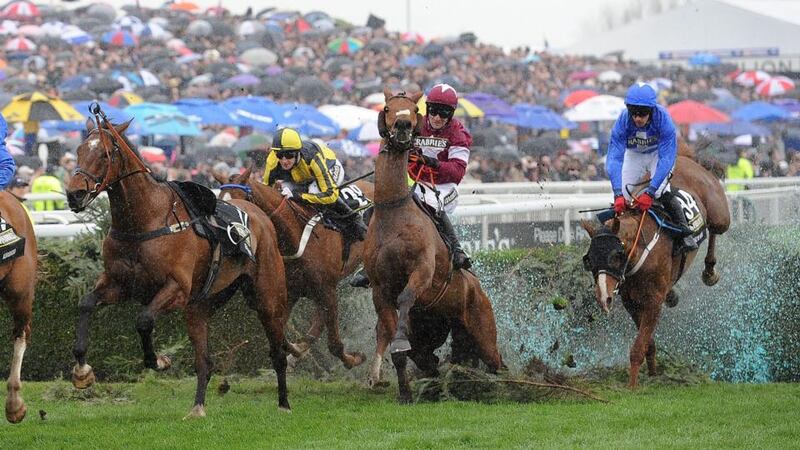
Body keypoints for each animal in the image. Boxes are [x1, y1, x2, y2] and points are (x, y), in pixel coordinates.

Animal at [65, 114, 290, 416]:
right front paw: (82, 371)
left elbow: (144, 321)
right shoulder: (119, 284)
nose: (74, 194)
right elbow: (86, 303)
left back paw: (284, 403)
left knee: (278, 351)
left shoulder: (176, 289)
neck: (146, 219)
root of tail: (258, 213)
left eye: (105, 153)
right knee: (204, 360)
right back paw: (197, 408)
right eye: (79, 150)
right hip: (201, 305)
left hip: (267, 296)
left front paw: (159, 360)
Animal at [216, 166, 372, 370]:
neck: (294, 235)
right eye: (219, 204)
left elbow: (334, 345)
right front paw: (296, 351)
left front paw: (355, 359)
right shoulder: (292, 292)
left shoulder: (327, 290)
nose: (225, 238)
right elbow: (281, 335)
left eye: (239, 202)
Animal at [364, 89, 504, 404]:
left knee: (497, 364)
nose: (403, 127)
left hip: (483, 329)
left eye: (414, 109)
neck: (394, 212)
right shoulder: (380, 288)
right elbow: (397, 343)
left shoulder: (422, 270)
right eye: (388, 108)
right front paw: (404, 392)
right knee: (431, 360)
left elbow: (406, 297)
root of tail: (477, 288)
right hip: (439, 329)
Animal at [580, 149, 732, 388]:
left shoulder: (653, 302)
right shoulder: (631, 302)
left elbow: (638, 347)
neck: (641, 248)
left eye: (616, 256)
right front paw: (652, 373)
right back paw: (674, 293)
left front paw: (632, 387)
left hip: (719, 215)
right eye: (589, 260)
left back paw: (709, 272)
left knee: (715, 230)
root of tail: (687, 158)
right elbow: (647, 343)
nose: (604, 297)